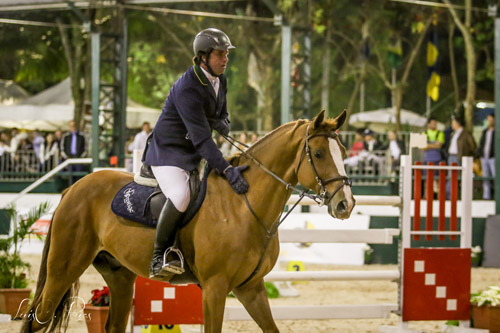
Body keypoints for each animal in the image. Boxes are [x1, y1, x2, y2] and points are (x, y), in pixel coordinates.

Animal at [21, 109, 354, 332]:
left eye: (343, 150)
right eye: (319, 153)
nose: (345, 204)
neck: (245, 206)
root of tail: (73, 188)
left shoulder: (251, 288)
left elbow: (271, 328)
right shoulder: (216, 287)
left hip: (119, 276)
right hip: (64, 269)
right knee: (37, 319)